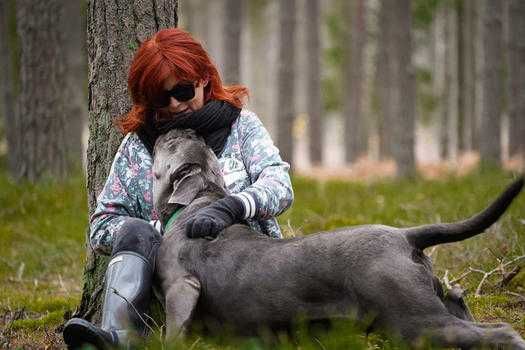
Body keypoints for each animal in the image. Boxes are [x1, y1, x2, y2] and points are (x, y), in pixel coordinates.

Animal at [151, 130, 524, 348]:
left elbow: (174, 328)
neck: (201, 200)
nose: (177, 128)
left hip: (414, 318)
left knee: (501, 332)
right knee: (462, 303)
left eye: (171, 144)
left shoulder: (180, 286)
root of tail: (405, 236)